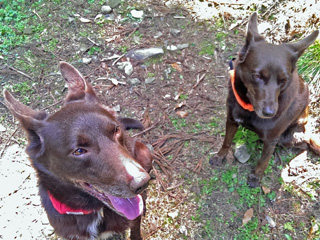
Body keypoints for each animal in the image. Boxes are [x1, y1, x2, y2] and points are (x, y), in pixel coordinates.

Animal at [210, 13, 320, 188]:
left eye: (283, 80)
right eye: (257, 75)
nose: (269, 113)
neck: (249, 108)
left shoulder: (272, 139)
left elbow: (263, 161)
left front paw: (256, 177)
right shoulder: (231, 120)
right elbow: (226, 141)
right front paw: (220, 156)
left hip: (287, 136)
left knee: (305, 144)